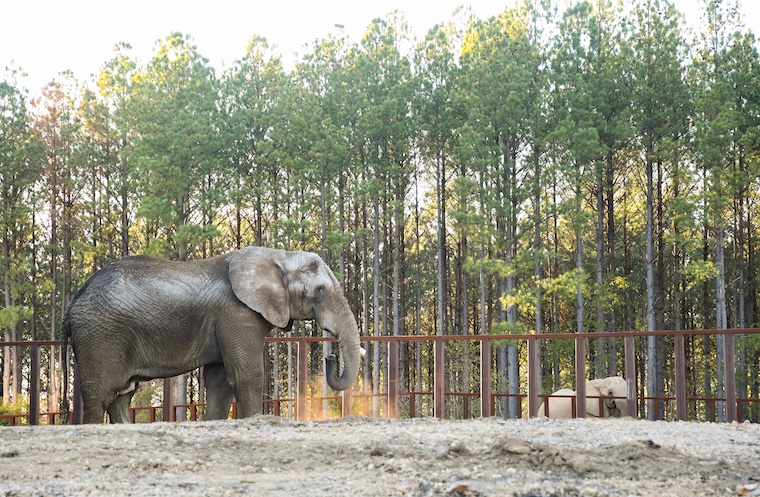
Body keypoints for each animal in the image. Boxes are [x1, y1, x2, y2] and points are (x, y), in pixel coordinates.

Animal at [61, 246, 362, 424]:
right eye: (320, 290)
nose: (330, 358)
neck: (278, 255)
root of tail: (74, 300)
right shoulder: (237, 313)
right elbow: (246, 374)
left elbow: (220, 382)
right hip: (101, 336)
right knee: (100, 394)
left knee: (122, 395)